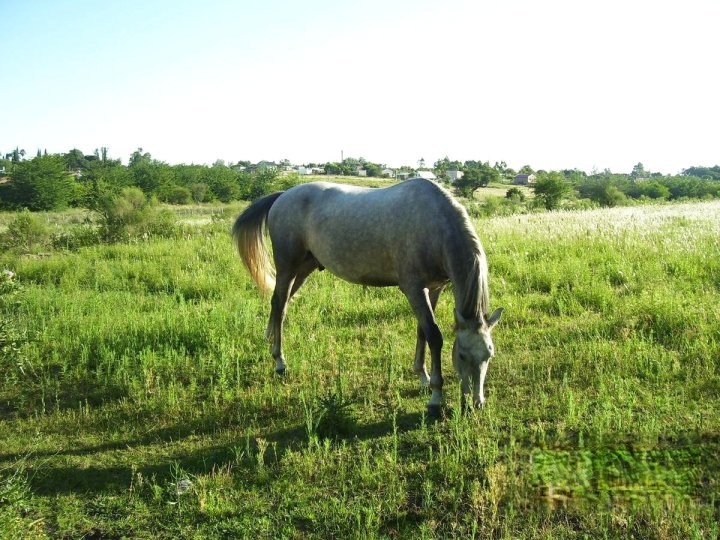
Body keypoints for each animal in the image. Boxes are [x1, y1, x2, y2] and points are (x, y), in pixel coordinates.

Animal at [233, 178, 504, 418]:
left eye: (489, 355)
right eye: (461, 355)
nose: (474, 404)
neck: (435, 224)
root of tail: (283, 195)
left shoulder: (433, 288)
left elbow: (423, 332)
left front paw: (422, 376)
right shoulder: (414, 289)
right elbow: (434, 336)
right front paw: (435, 396)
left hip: (305, 266)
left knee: (281, 303)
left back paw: (271, 343)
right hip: (288, 266)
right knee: (279, 304)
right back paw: (280, 361)